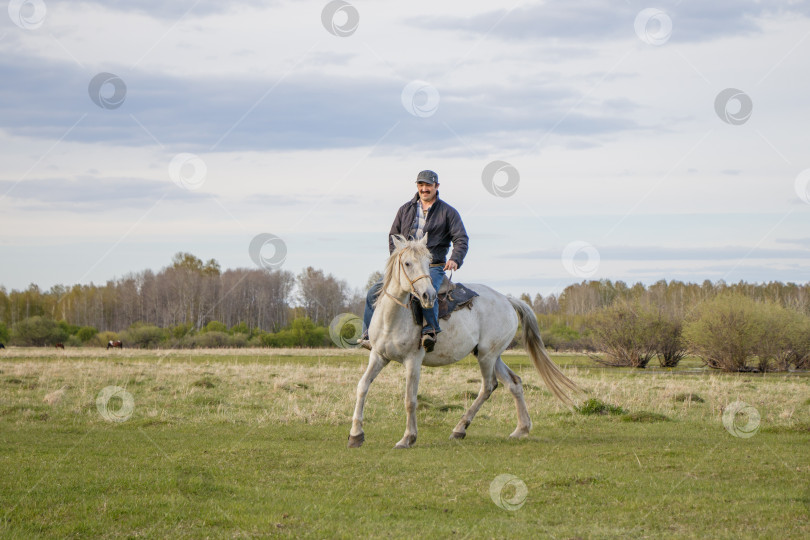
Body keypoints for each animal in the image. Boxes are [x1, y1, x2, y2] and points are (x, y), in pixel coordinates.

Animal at [348, 234, 580, 450]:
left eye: (428, 261)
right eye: (407, 263)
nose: (428, 295)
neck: (394, 317)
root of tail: (506, 300)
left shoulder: (413, 361)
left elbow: (410, 400)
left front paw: (408, 438)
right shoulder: (378, 356)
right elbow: (362, 387)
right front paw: (355, 435)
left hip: (487, 356)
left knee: (488, 386)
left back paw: (460, 428)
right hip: (492, 355)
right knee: (514, 383)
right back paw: (521, 429)